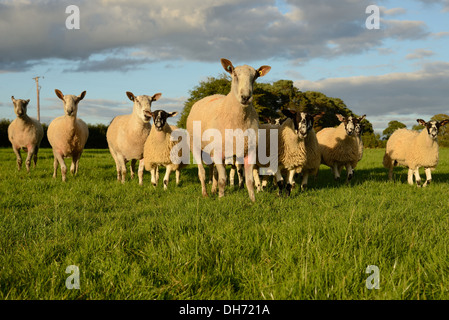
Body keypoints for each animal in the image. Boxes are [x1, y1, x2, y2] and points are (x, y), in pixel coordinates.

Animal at [185, 58, 270, 202]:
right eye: (234, 74)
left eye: (255, 77)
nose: (245, 97)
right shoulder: (219, 151)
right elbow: (223, 179)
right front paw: (221, 198)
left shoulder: (250, 150)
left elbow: (249, 181)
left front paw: (253, 200)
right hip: (195, 145)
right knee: (202, 172)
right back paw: (205, 193)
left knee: (213, 171)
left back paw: (213, 190)